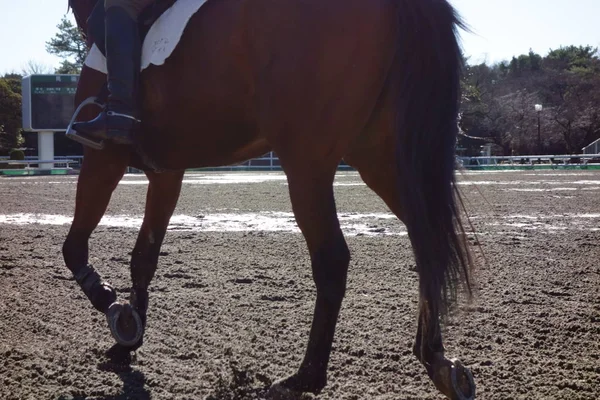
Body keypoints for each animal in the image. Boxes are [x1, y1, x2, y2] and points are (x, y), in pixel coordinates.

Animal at [63, 1, 476, 398]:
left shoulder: (103, 158)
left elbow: (73, 248)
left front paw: (113, 307)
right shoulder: (166, 172)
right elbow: (143, 257)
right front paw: (128, 336)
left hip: (307, 162)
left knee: (333, 259)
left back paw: (304, 378)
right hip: (380, 158)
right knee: (426, 242)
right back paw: (437, 360)